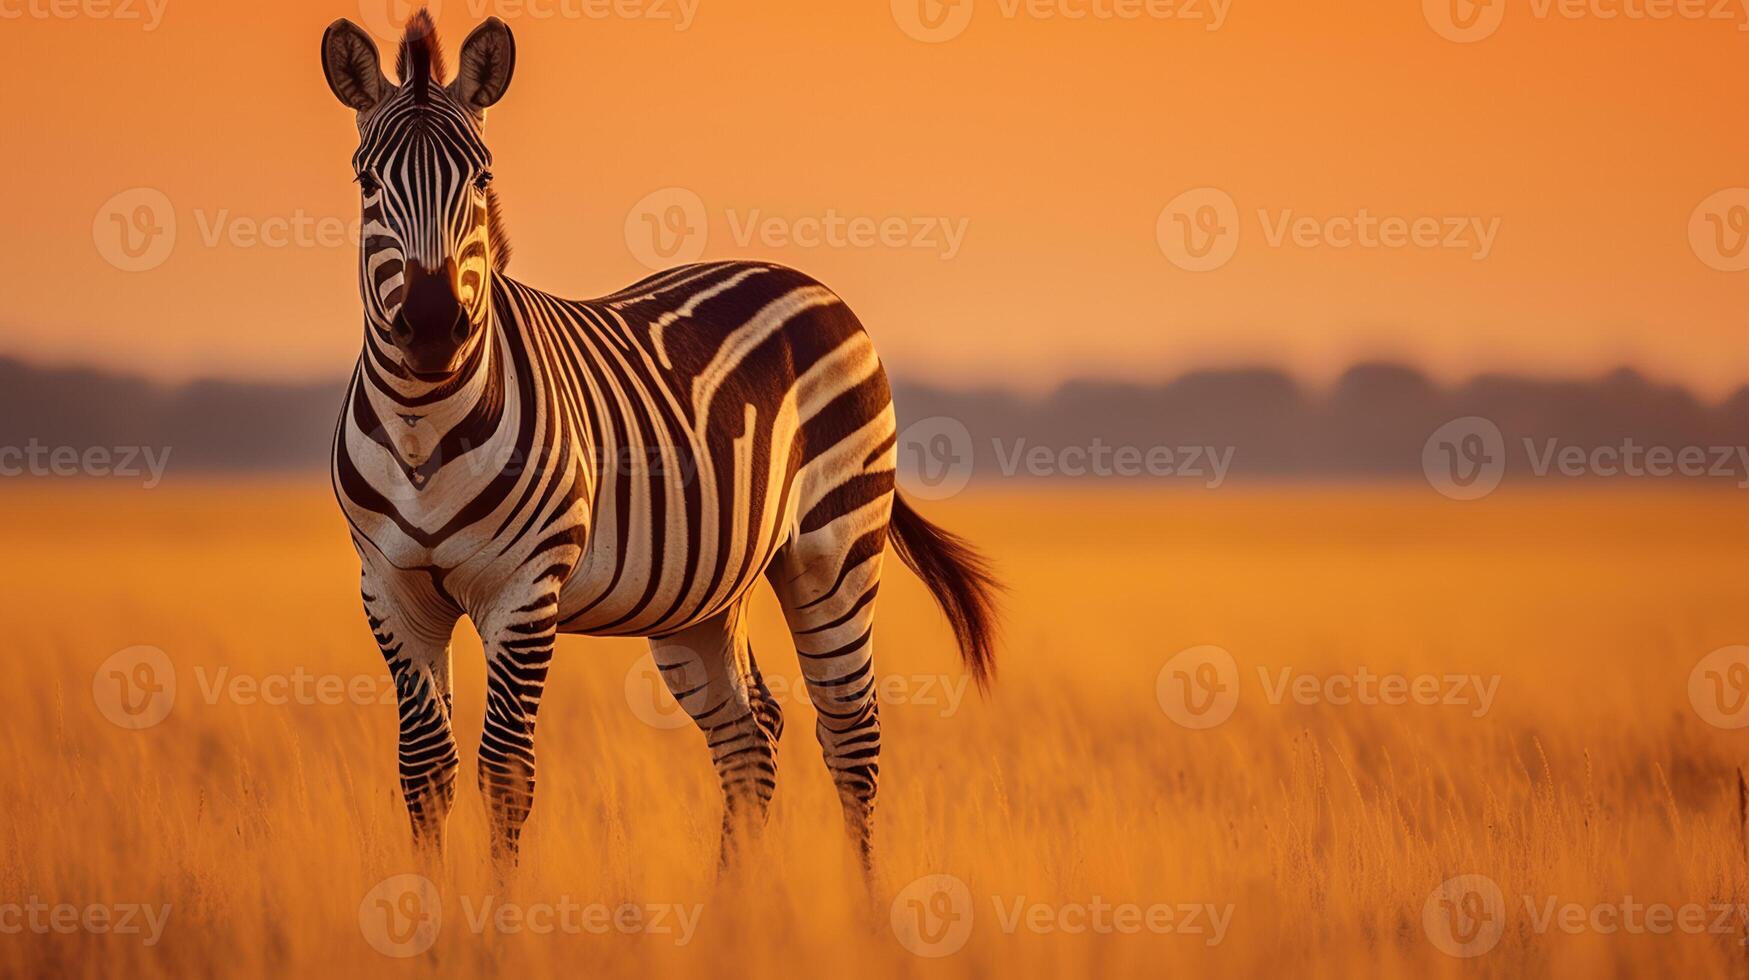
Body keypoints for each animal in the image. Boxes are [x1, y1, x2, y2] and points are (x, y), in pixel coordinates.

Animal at [314, 11, 1000, 868]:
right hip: (700, 596)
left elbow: (504, 776)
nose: (436, 326)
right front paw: (425, 907)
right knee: (750, 738)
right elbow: (424, 774)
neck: (422, 426)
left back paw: (862, 901)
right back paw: (734, 906)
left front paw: (496, 912)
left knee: (850, 739)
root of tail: (805, 281)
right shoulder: (390, 590)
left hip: (834, 549)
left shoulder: (524, 589)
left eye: (479, 179)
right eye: (367, 185)